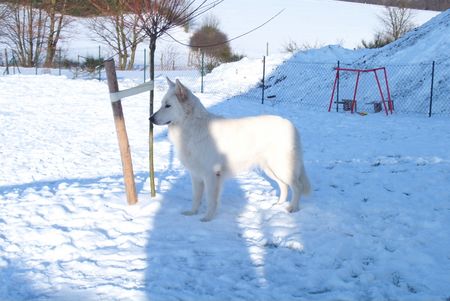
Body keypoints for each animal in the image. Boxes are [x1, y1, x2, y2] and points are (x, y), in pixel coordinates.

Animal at [150, 78, 310, 220]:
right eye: (162, 104)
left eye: (168, 106)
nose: (150, 119)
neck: (192, 125)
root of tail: (291, 125)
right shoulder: (196, 175)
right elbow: (196, 198)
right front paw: (192, 213)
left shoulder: (211, 175)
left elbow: (210, 200)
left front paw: (207, 218)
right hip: (270, 169)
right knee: (284, 186)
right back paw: (278, 204)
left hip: (281, 168)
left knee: (297, 186)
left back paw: (292, 208)